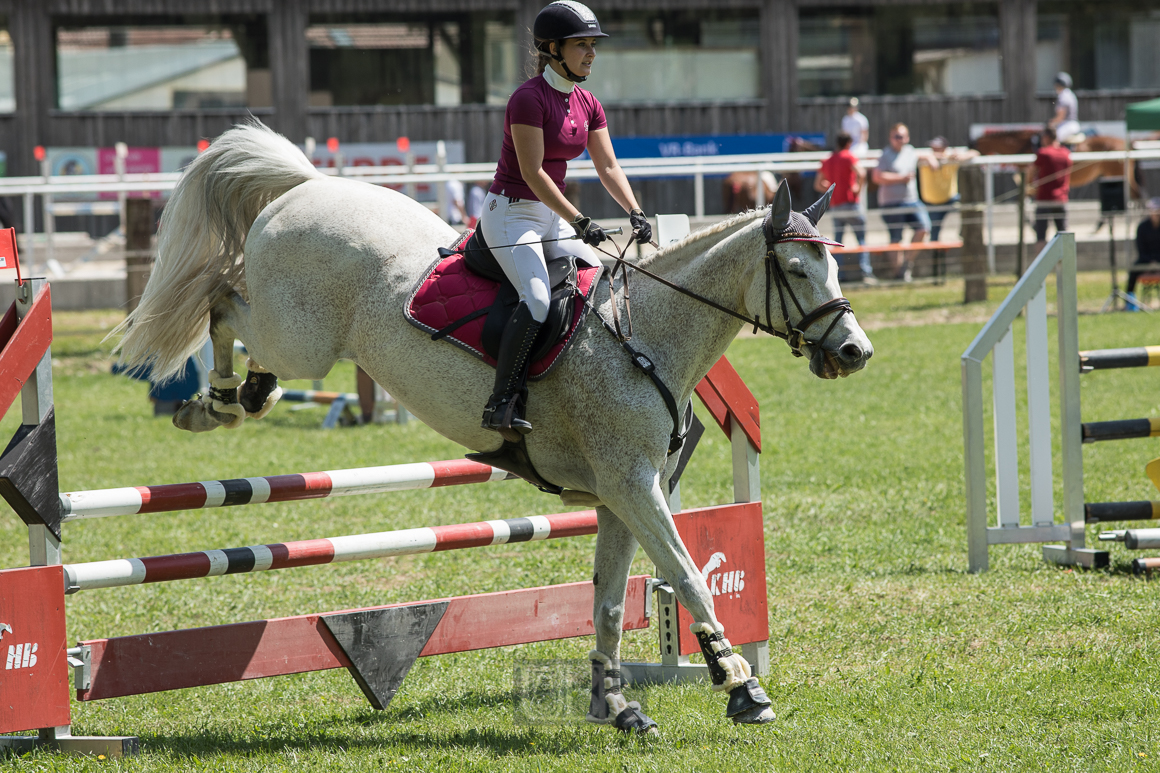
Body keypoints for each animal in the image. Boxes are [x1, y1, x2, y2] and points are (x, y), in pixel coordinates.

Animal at [115, 120, 872, 728]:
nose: (854, 352)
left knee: (233, 316)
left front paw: (614, 704)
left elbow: (609, 600)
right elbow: (687, 575)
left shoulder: (620, 496)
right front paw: (740, 686)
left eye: (833, 265)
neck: (647, 333)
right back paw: (213, 401)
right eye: (797, 268)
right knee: (221, 300)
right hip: (299, 338)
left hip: (297, 339)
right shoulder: (633, 486)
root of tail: (309, 185)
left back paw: (242, 395)